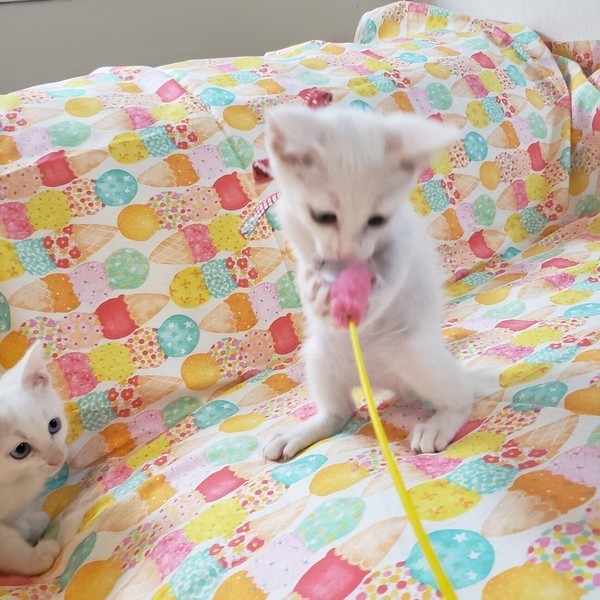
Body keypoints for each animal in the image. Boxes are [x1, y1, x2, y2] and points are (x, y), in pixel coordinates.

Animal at [0, 341, 67, 575]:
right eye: (21, 450)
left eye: (54, 425)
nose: (56, 458)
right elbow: (6, 545)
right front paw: (33, 558)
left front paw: (28, 525)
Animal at [263, 105, 475, 461]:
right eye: (322, 217)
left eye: (377, 220)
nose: (348, 255)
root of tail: (379, 380)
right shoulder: (295, 226)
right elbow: (306, 264)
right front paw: (313, 289)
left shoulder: (403, 240)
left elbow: (392, 276)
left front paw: (368, 300)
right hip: (320, 356)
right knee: (340, 411)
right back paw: (304, 431)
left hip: (414, 352)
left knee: (463, 394)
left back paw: (440, 423)